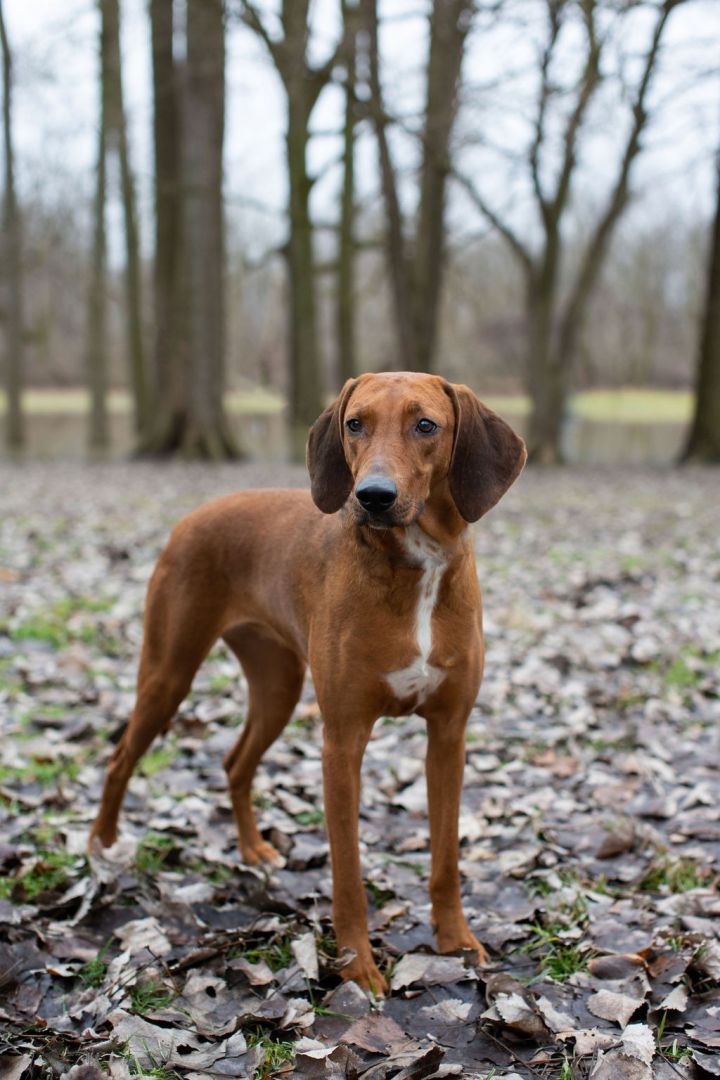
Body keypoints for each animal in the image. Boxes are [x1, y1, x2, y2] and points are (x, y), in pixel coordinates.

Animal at [92, 373, 526, 993]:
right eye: (355, 424)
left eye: (426, 425)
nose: (373, 496)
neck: (416, 563)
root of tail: (195, 514)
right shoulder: (342, 742)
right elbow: (347, 873)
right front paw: (358, 967)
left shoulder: (448, 735)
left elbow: (445, 858)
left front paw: (455, 940)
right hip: (169, 672)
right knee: (121, 756)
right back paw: (102, 847)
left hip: (277, 687)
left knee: (236, 763)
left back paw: (254, 850)